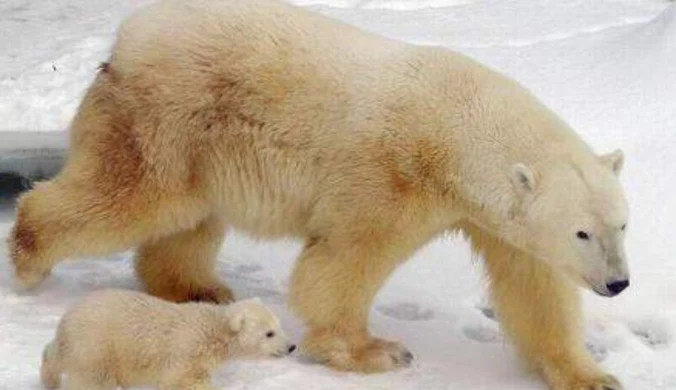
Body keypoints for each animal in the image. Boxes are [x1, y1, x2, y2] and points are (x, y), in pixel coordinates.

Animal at [7, 1, 632, 388]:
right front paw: (375, 350)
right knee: (133, 197)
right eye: (582, 231)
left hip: (195, 141)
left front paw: (591, 375)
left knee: (187, 218)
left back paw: (199, 289)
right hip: (164, 116)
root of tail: (125, 37)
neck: (458, 126)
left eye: (622, 224)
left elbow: (534, 288)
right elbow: (345, 258)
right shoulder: (391, 172)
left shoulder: (497, 218)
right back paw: (30, 258)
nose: (618, 283)